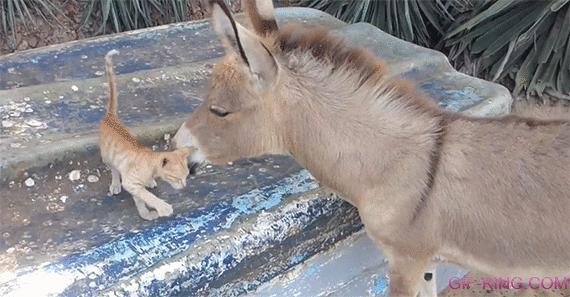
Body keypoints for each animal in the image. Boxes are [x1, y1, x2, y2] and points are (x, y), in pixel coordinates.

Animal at [98, 49, 193, 220]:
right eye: (177, 178)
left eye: (186, 176)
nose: (184, 186)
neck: (151, 164)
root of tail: (110, 117)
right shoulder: (130, 182)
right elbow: (147, 196)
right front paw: (160, 208)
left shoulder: (135, 185)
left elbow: (140, 197)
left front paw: (146, 211)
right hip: (107, 155)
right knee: (113, 169)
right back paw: (115, 184)